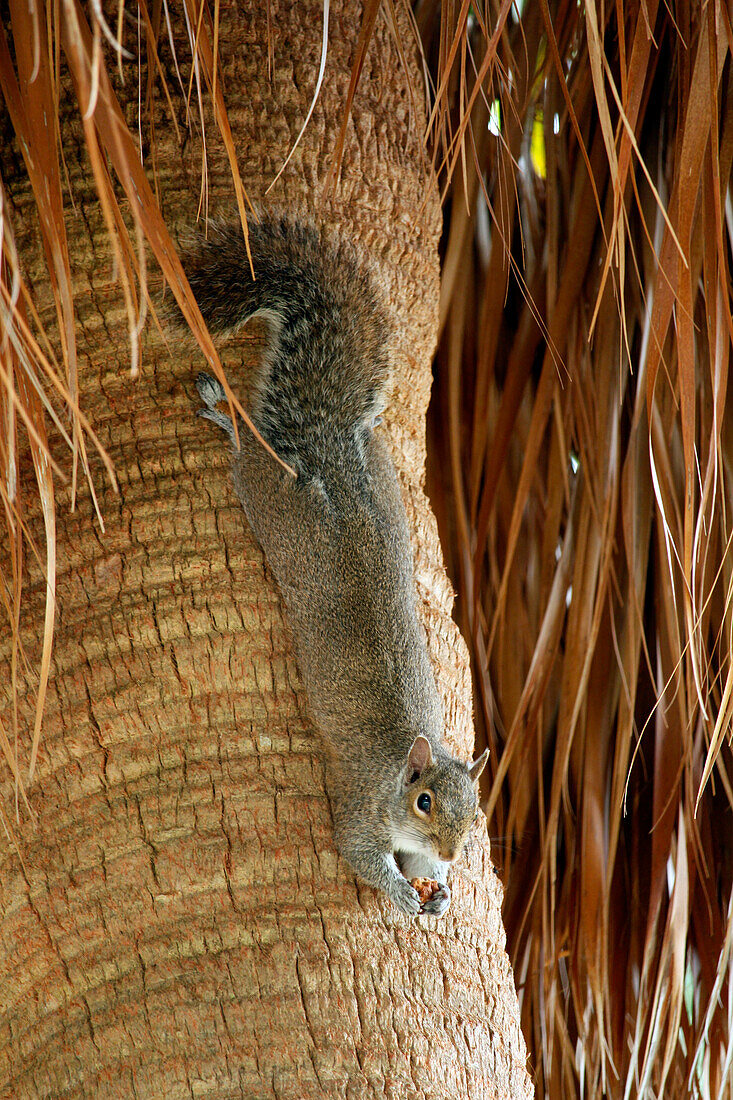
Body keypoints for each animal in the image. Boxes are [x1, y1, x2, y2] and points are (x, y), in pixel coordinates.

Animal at [173, 214, 488, 919]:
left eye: (477, 811)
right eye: (423, 801)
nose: (454, 853)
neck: (400, 769)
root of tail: (330, 449)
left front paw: (440, 889)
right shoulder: (363, 810)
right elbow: (362, 855)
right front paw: (402, 893)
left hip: (380, 470)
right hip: (275, 497)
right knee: (250, 454)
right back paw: (227, 417)